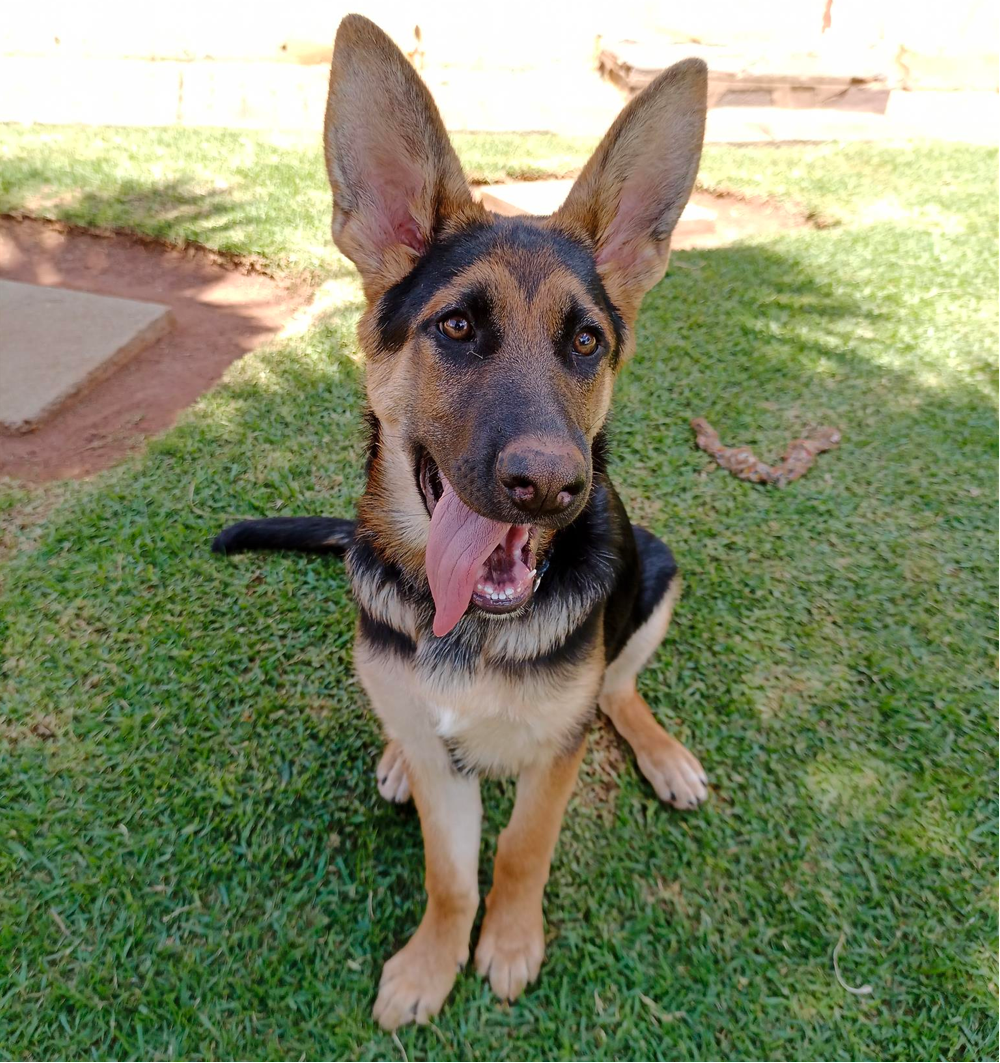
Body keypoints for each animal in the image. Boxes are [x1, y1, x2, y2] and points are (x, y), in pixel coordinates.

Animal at [214, 14, 705, 1028]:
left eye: (586, 341)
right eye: (457, 327)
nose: (551, 486)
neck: (469, 630)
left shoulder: (555, 756)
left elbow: (520, 850)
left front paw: (510, 943)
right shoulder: (445, 771)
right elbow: (451, 872)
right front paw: (432, 962)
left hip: (660, 570)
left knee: (619, 688)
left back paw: (662, 751)